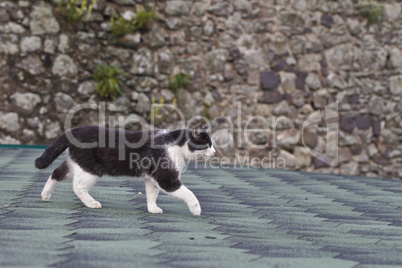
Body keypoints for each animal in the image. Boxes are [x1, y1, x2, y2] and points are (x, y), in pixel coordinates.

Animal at [36, 124, 215, 216]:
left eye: (212, 145)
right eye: (207, 145)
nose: (214, 152)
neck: (175, 146)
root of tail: (75, 129)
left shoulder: (152, 177)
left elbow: (151, 194)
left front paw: (152, 209)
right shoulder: (166, 177)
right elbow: (189, 193)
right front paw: (196, 209)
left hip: (77, 163)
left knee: (57, 173)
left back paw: (45, 195)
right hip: (91, 169)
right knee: (77, 187)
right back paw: (92, 203)